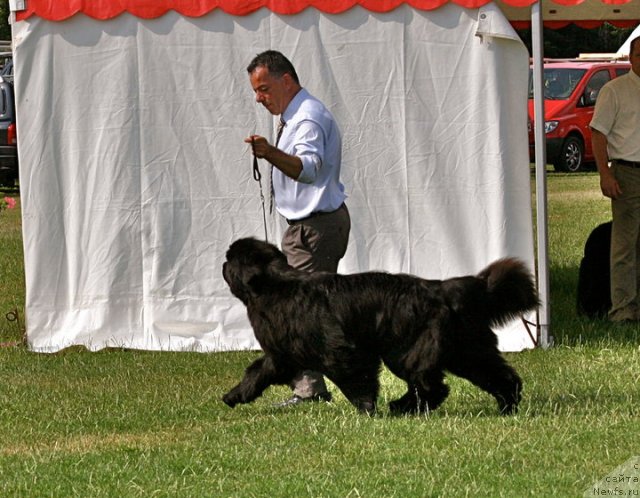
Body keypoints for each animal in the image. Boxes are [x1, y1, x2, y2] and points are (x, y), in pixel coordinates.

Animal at [222, 237, 536, 416]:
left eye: (230, 259)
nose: (222, 263)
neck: (275, 287)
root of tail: (443, 289)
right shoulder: (282, 354)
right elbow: (257, 372)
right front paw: (234, 395)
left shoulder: (341, 351)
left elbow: (356, 380)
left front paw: (366, 409)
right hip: (466, 350)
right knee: (496, 375)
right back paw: (507, 406)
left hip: (407, 351)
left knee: (430, 386)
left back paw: (402, 408)